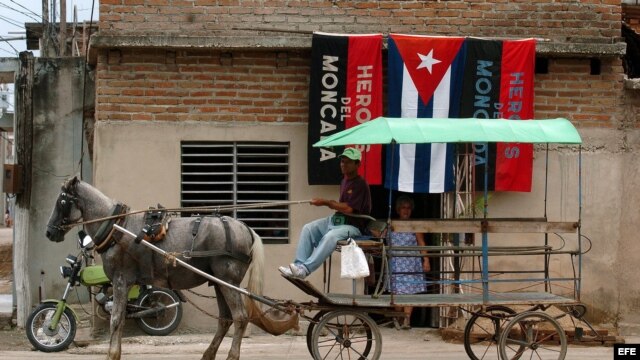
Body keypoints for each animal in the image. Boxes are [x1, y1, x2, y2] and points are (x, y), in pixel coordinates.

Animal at [45, 176, 264, 358]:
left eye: (62, 202)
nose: (49, 232)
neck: (115, 228)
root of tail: (245, 228)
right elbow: (120, 319)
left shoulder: (120, 280)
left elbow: (116, 319)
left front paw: (112, 354)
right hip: (218, 282)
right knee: (225, 319)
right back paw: (208, 354)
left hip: (228, 280)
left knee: (240, 317)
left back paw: (232, 355)